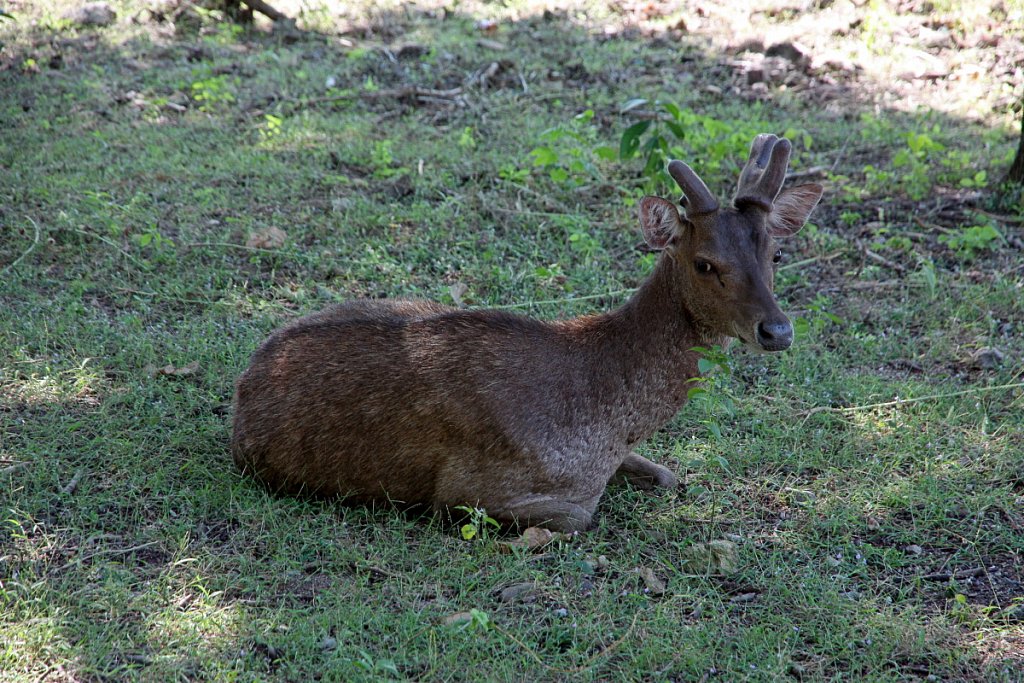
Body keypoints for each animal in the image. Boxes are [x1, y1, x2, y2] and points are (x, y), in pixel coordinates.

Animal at [230, 135, 823, 532]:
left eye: (776, 253)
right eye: (704, 263)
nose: (776, 330)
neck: (609, 420)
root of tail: (243, 387)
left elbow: (669, 475)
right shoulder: (470, 489)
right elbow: (579, 518)